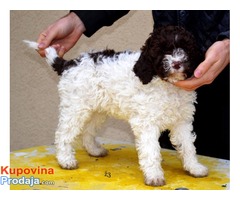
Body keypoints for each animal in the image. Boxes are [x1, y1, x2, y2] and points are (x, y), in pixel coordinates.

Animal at [24, 25, 208, 187]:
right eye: (161, 50)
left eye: (186, 48)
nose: (176, 63)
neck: (168, 85)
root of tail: (69, 64)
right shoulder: (146, 123)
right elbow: (151, 150)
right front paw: (154, 176)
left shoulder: (182, 121)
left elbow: (188, 146)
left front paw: (194, 168)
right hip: (75, 107)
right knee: (63, 134)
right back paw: (66, 160)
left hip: (96, 110)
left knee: (87, 131)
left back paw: (94, 150)